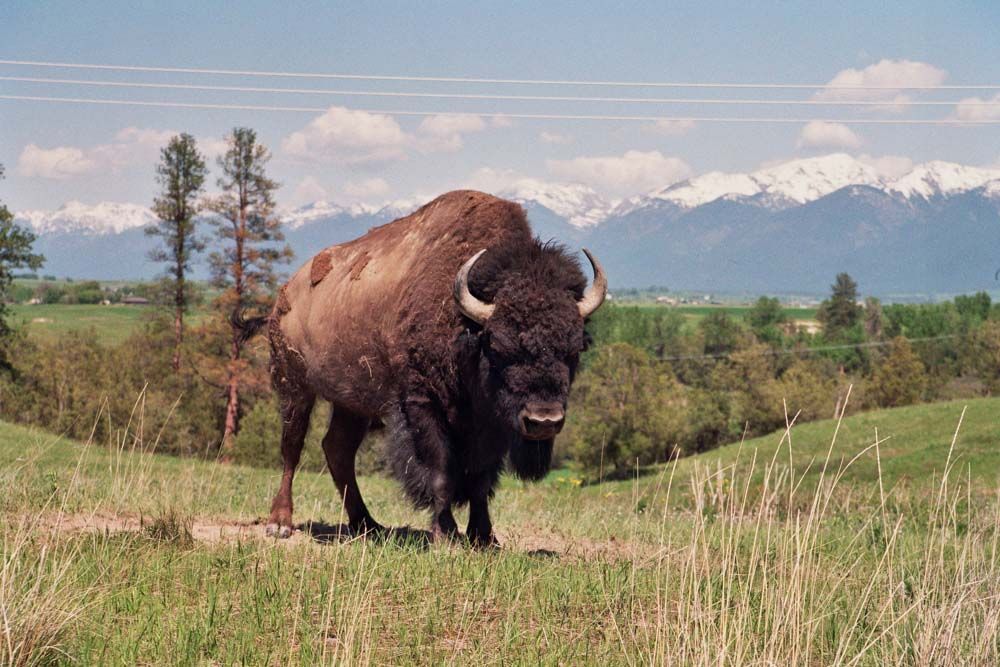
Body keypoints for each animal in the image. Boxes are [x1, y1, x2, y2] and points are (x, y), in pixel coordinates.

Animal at [237, 190, 606, 546]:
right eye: (499, 345)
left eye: (575, 348)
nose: (544, 421)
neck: (466, 327)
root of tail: (284, 294)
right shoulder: (422, 406)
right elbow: (440, 472)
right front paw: (445, 534)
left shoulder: (492, 424)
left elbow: (481, 479)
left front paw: (485, 537)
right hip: (294, 385)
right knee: (292, 447)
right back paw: (281, 524)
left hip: (351, 402)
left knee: (337, 449)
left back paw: (368, 525)